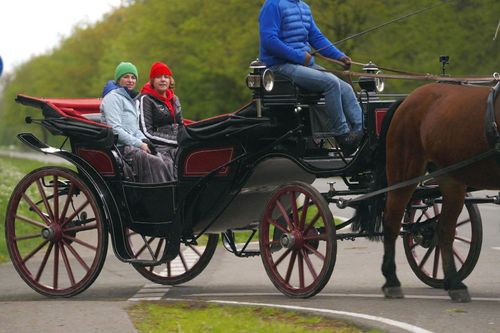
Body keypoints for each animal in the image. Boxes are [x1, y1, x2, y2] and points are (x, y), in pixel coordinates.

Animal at [364, 81, 500, 300]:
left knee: (444, 229)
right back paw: (392, 281)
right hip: (405, 174)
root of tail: (407, 99)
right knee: (392, 222)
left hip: (450, 180)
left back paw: (453, 283)